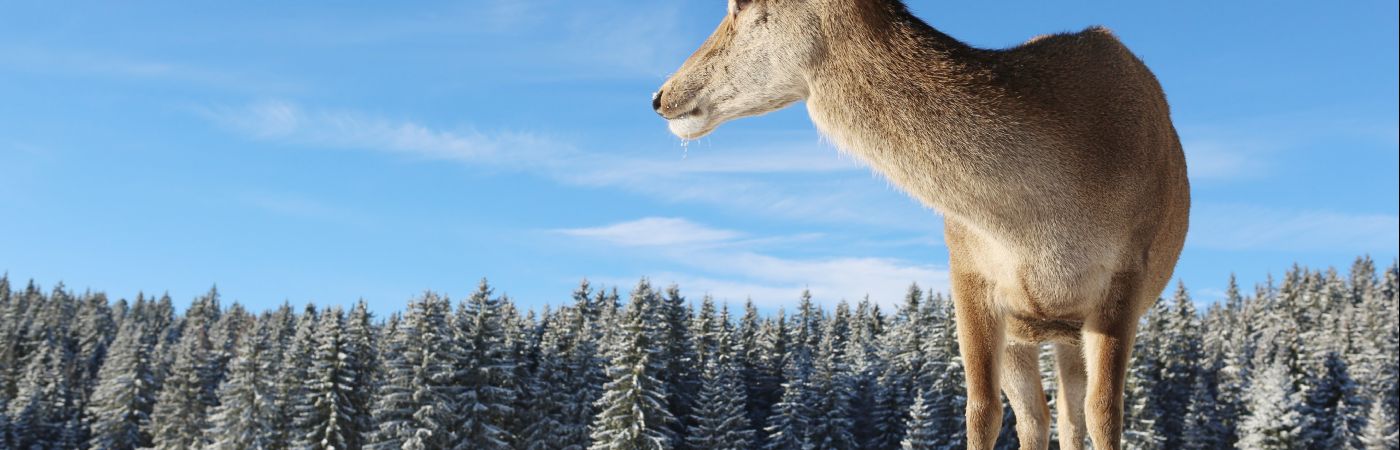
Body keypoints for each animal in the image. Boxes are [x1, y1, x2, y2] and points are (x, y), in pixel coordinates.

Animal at [649, 0, 1187, 448]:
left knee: (1072, 416)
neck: (1041, 226)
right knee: (1038, 416)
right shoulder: (968, 271)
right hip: (1031, 333)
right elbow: (982, 412)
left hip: (1070, 327)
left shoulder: (1126, 270)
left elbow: (1106, 415)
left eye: (739, 3)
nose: (661, 95)